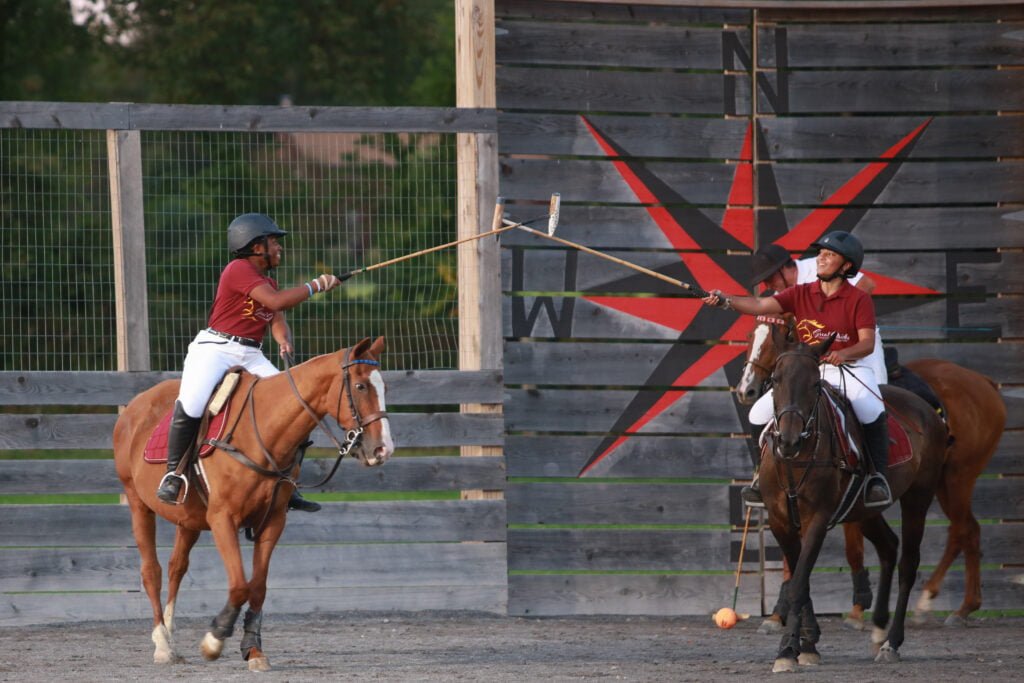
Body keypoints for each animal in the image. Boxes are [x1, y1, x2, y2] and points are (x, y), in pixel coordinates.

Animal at [112, 335, 391, 671]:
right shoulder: (223, 519)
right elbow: (240, 584)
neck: (262, 436)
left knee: (176, 566)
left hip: (188, 519)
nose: (382, 449)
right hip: (138, 504)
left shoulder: (273, 521)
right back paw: (163, 645)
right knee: (151, 571)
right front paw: (214, 639)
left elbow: (257, 587)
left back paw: (170, 633)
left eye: (385, 388)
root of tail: (134, 407)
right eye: (361, 386)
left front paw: (253, 650)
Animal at [737, 315, 1007, 630]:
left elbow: (849, 551)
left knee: (963, 529)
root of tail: (985, 382)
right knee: (958, 530)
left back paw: (944, 604)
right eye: (749, 337)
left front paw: (854, 611)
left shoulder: (832, 508)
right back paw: (952, 605)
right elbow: (793, 561)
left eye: (774, 338)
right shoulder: (790, 513)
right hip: (940, 483)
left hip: (955, 477)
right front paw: (779, 615)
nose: (746, 390)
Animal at [765, 333, 946, 671]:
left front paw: (787, 650)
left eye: (815, 384)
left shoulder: (817, 519)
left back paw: (891, 642)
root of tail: (927, 409)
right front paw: (807, 643)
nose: (788, 441)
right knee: (888, 546)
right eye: (775, 380)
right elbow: (800, 580)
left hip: (918, 497)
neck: (796, 459)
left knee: (908, 562)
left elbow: (798, 582)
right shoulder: (779, 520)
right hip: (864, 511)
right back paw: (878, 626)